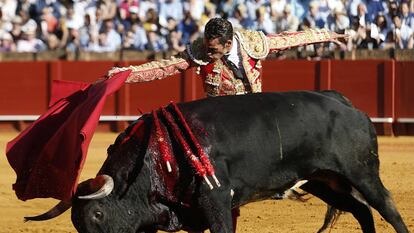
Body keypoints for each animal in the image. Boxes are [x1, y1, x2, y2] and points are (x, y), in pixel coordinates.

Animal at [27, 91, 410, 233]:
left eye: (97, 214)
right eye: (76, 223)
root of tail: (346, 103)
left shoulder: (216, 199)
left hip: (361, 172)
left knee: (386, 206)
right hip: (323, 180)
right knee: (361, 211)